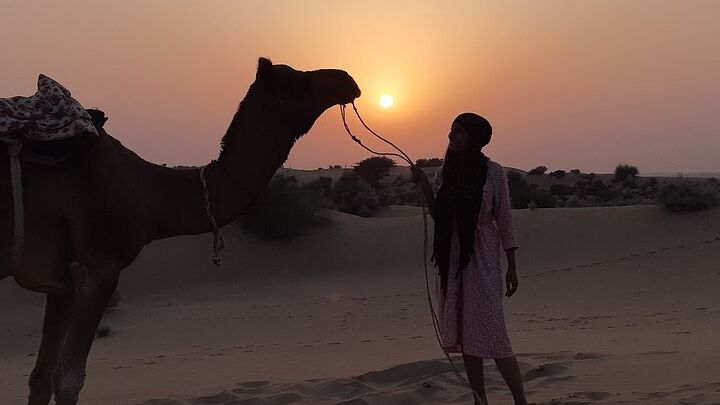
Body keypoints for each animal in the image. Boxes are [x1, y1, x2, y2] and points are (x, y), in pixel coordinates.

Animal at [0, 57, 361, 405]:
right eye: (296, 80)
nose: (347, 79)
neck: (146, 192)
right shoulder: (98, 267)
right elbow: (68, 380)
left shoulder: (60, 280)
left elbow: (40, 378)